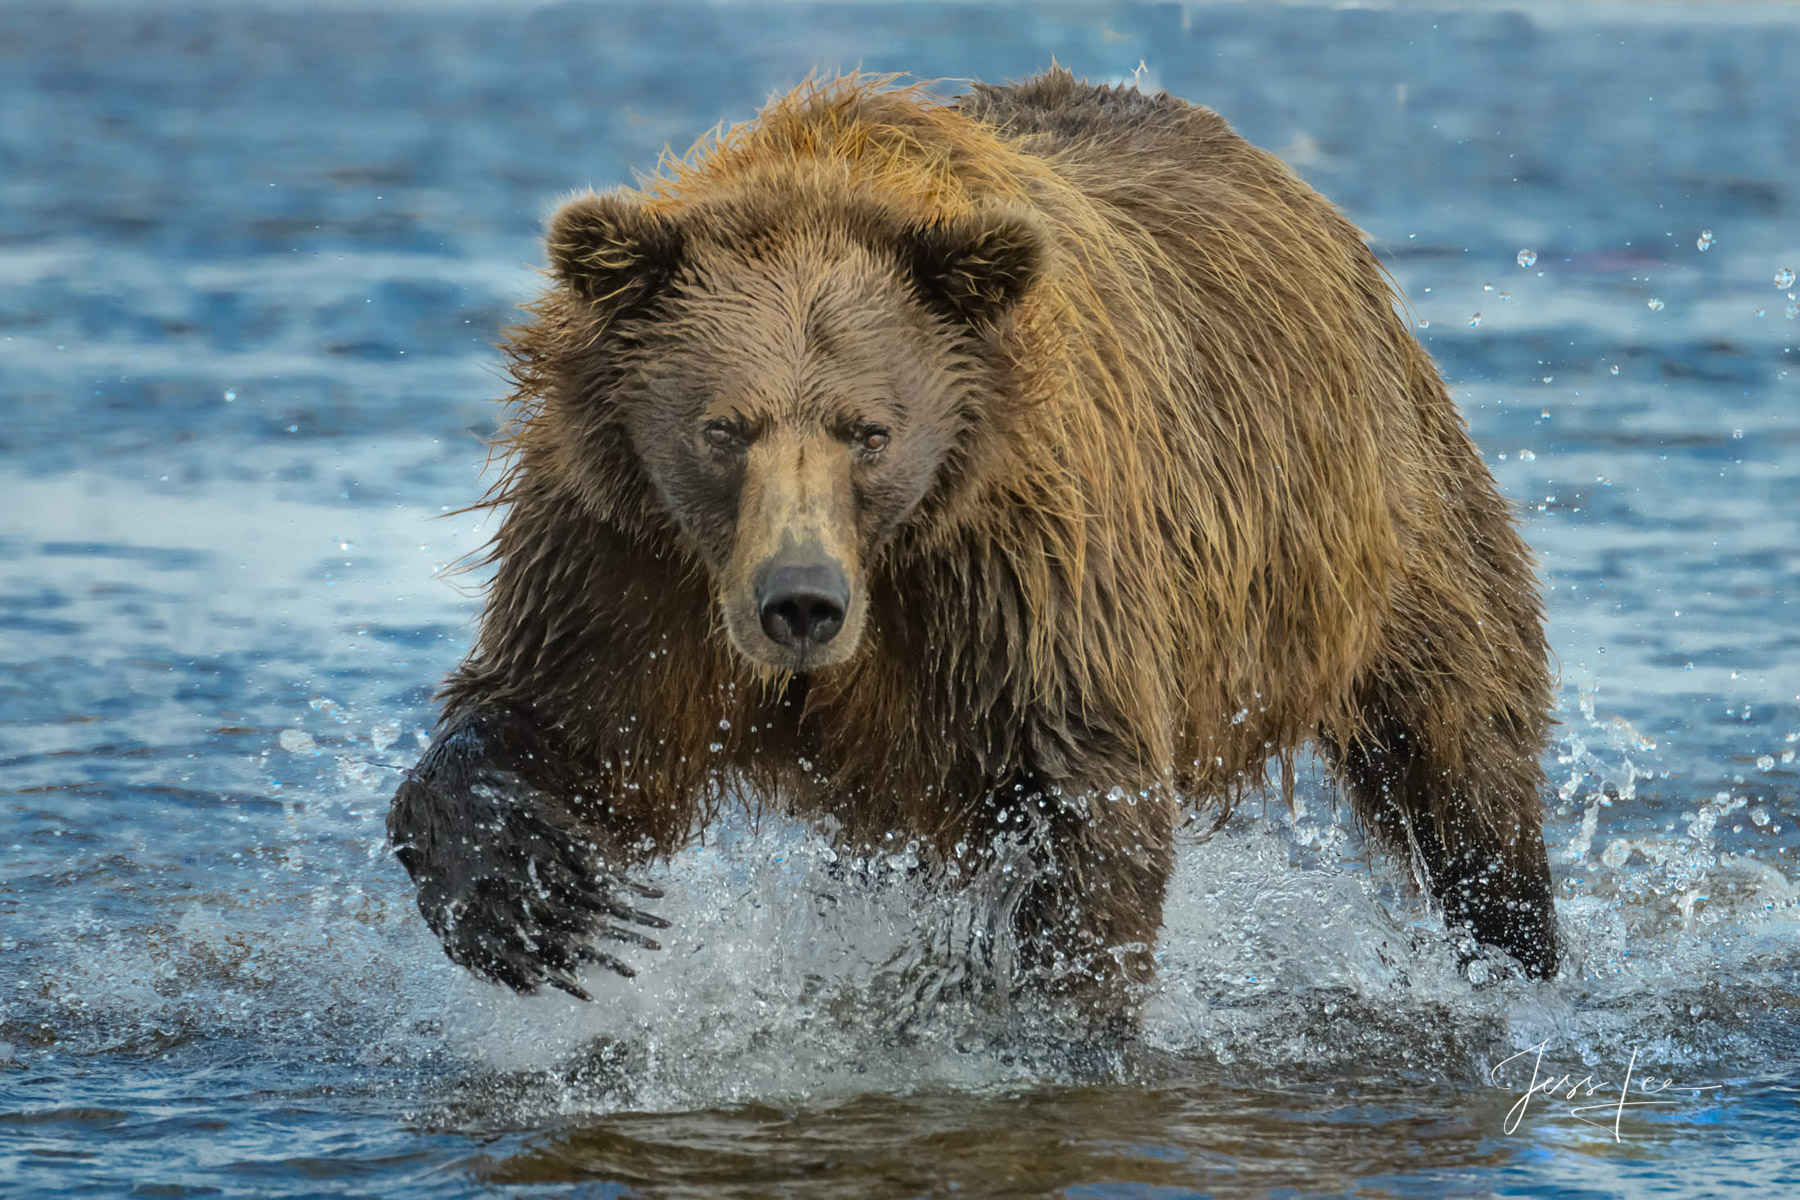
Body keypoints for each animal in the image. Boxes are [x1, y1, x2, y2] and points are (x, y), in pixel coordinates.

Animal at [390, 72, 1562, 1014]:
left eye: (870, 430)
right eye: (722, 428)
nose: (801, 602)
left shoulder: (1019, 569)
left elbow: (1085, 802)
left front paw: (1052, 1014)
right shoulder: (630, 557)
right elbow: (571, 725)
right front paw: (535, 894)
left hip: (1383, 529)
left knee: (1462, 754)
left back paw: (1519, 951)